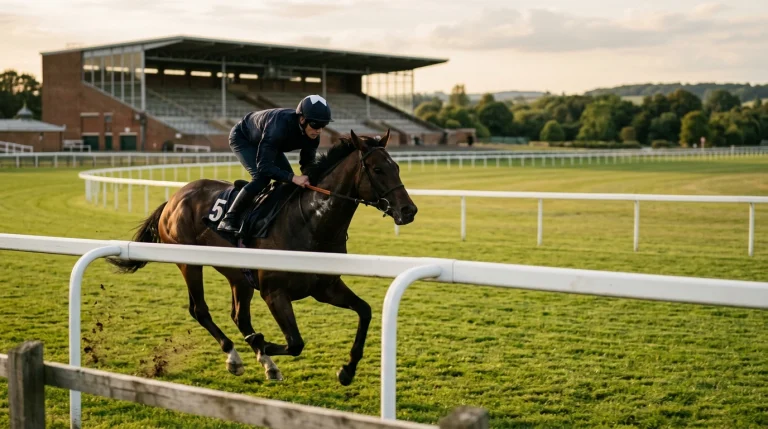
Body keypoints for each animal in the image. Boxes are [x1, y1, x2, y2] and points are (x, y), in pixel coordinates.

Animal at [108, 130, 417, 385]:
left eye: (397, 167)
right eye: (377, 169)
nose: (409, 210)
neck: (311, 222)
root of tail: (173, 199)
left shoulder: (325, 287)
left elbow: (365, 310)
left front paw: (347, 370)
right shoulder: (274, 292)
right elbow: (295, 343)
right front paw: (263, 344)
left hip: (238, 276)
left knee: (239, 316)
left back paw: (265, 362)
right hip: (189, 263)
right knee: (200, 310)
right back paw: (235, 356)